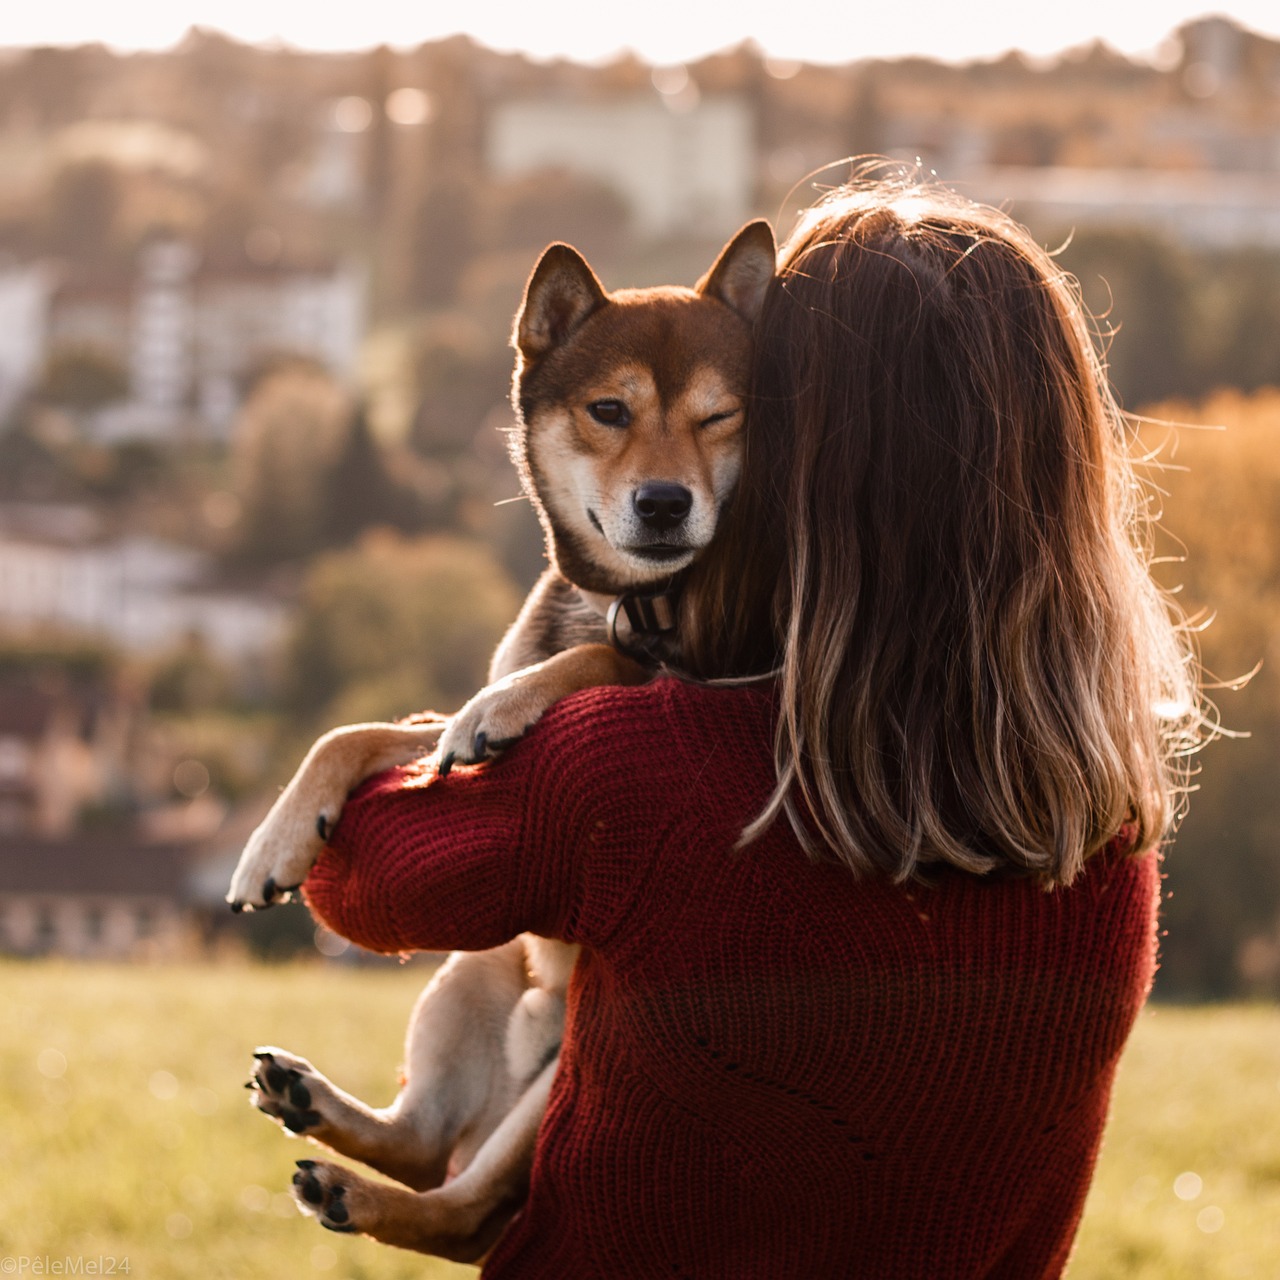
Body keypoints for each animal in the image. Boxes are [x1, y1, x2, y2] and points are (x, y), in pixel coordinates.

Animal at [225, 222, 773, 1259]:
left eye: (722, 416)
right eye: (609, 410)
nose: (665, 503)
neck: (627, 601)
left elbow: (598, 665)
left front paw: (514, 703)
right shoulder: (429, 736)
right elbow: (359, 733)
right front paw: (276, 841)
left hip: (568, 1063)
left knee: (462, 1206)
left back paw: (360, 1193)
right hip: (474, 970)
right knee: (424, 1142)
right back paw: (314, 1105)